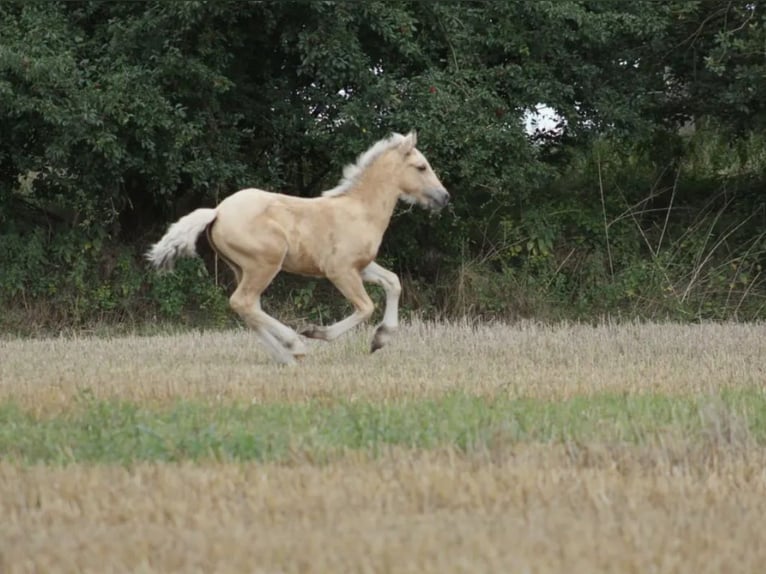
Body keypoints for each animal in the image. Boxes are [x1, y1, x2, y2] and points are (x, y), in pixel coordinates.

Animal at [146, 131, 449, 364]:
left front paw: (380, 339)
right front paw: (316, 332)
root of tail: (217, 211)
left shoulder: (361, 267)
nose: (444, 197)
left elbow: (393, 282)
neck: (360, 210)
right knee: (243, 302)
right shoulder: (340, 270)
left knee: (248, 308)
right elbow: (365, 307)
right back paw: (295, 344)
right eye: (421, 167)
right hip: (264, 264)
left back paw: (287, 356)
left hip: (242, 268)